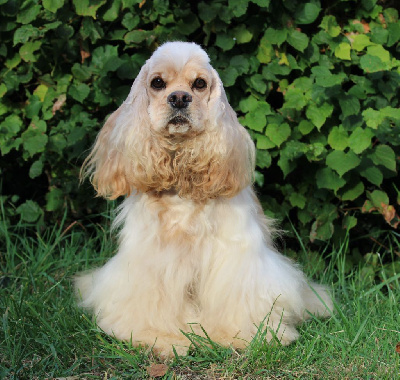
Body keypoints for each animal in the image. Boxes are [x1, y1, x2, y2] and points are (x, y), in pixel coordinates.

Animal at [75, 41, 332, 356]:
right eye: (157, 83)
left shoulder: (234, 256)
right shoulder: (152, 260)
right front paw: (160, 337)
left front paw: (241, 336)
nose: (179, 98)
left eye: (199, 84)